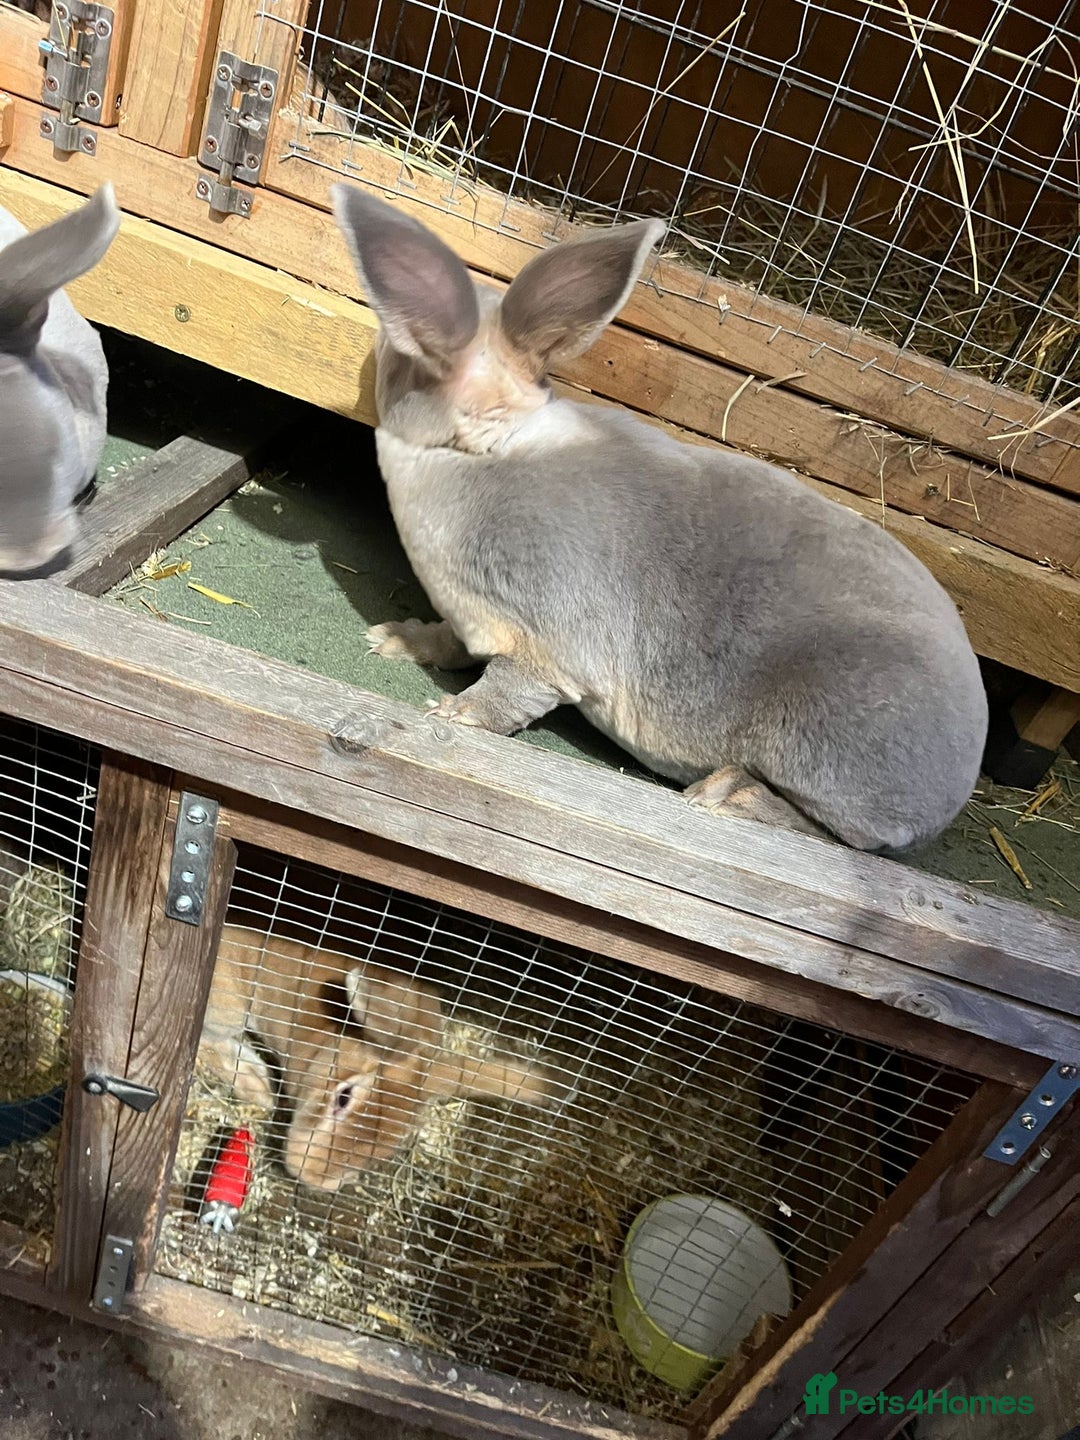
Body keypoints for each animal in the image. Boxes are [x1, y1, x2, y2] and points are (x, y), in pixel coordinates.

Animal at [200, 923, 561, 1190]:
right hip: (228, 1007)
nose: (308, 1174)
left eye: (389, 1146)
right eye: (343, 1097)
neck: (332, 1034)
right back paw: (258, 1086)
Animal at [331, 186, 988, 853]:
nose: (371, 354)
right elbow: (449, 641)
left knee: (835, 835)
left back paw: (724, 795)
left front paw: (454, 714)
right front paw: (395, 638)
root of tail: (959, 784)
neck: (481, 451)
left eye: (398, 354)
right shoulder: (472, 622)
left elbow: (507, 690)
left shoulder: (550, 648)